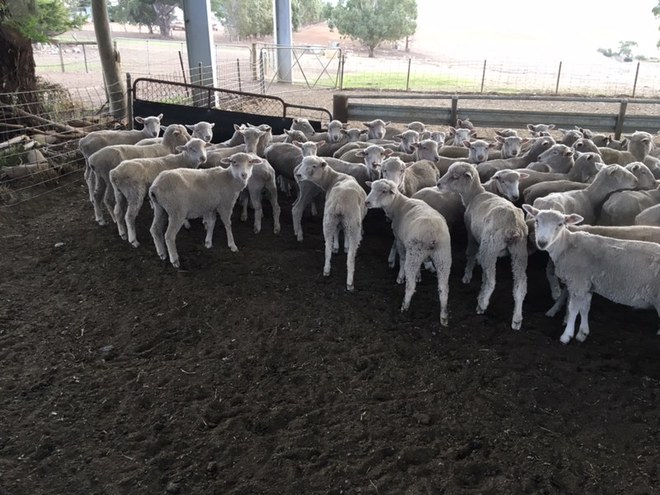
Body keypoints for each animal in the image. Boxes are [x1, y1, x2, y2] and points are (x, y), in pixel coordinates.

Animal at [294, 156, 367, 291]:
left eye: (314, 166)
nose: (299, 175)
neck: (334, 178)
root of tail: (340, 202)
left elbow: (338, 231)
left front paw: (337, 247)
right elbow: (342, 233)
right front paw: (343, 246)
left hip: (329, 218)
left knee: (327, 246)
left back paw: (326, 269)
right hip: (353, 222)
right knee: (351, 257)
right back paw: (350, 283)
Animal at [364, 179, 452, 326]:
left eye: (384, 191)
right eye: (371, 188)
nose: (367, 202)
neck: (398, 205)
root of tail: (433, 234)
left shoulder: (400, 240)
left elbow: (402, 259)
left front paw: (400, 277)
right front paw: (419, 276)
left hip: (416, 252)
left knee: (411, 285)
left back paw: (404, 306)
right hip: (443, 257)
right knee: (443, 288)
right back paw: (444, 316)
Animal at [436, 162, 528, 330]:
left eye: (455, 176)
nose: (438, 184)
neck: (474, 196)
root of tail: (513, 226)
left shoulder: (471, 234)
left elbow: (471, 253)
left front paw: (467, 276)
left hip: (490, 248)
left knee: (492, 281)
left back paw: (482, 304)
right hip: (519, 251)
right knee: (520, 284)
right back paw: (517, 319)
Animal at [523, 205, 660, 343]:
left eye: (560, 224)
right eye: (536, 221)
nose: (542, 242)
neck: (566, 246)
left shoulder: (578, 282)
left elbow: (573, 309)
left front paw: (566, 335)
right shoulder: (587, 285)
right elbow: (585, 308)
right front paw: (582, 333)